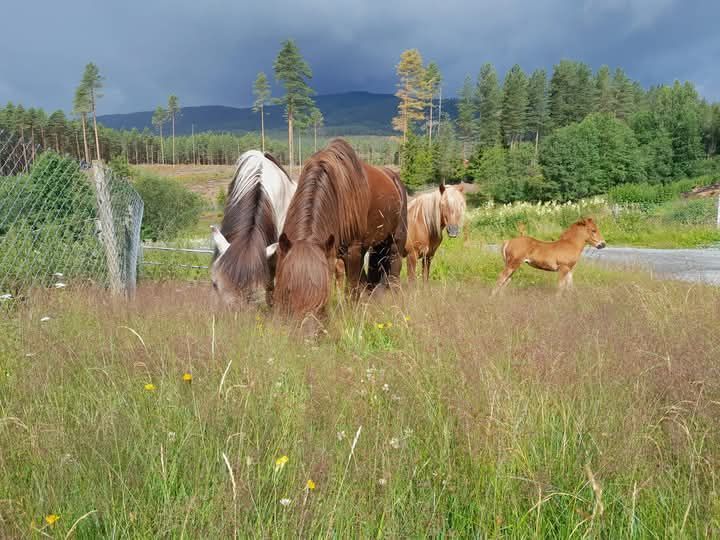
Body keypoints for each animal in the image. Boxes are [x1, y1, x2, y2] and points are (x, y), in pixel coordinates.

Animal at [272, 137, 404, 318]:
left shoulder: (352, 250)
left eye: (322, 292)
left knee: (395, 269)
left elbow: (352, 287)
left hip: (395, 241)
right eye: (288, 289)